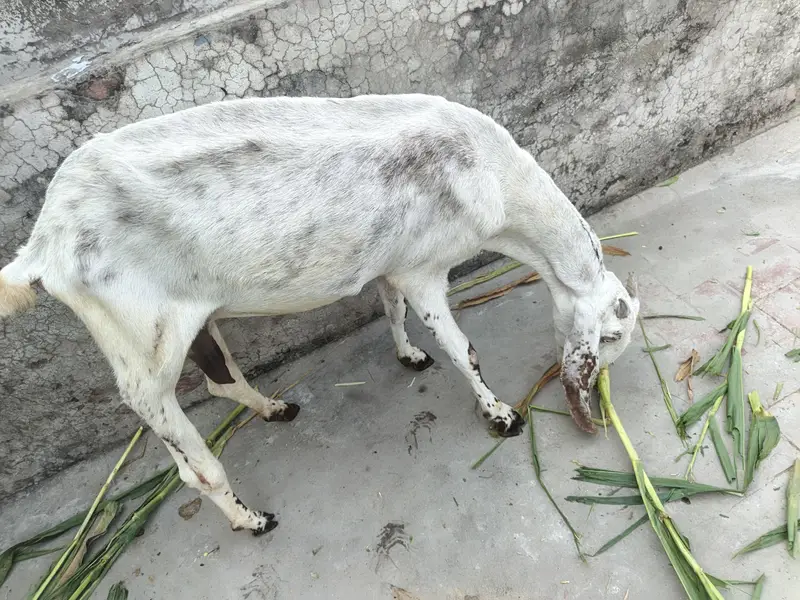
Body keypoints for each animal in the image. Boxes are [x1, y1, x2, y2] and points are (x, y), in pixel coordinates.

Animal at [0, 94, 639, 534]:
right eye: (610, 334)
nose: (596, 394)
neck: (489, 176)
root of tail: (46, 241)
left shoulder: (391, 265)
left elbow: (390, 309)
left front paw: (409, 355)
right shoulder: (423, 269)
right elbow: (464, 351)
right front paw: (501, 414)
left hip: (190, 316)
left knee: (221, 378)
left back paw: (275, 408)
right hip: (141, 344)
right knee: (189, 458)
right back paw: (251, 519)